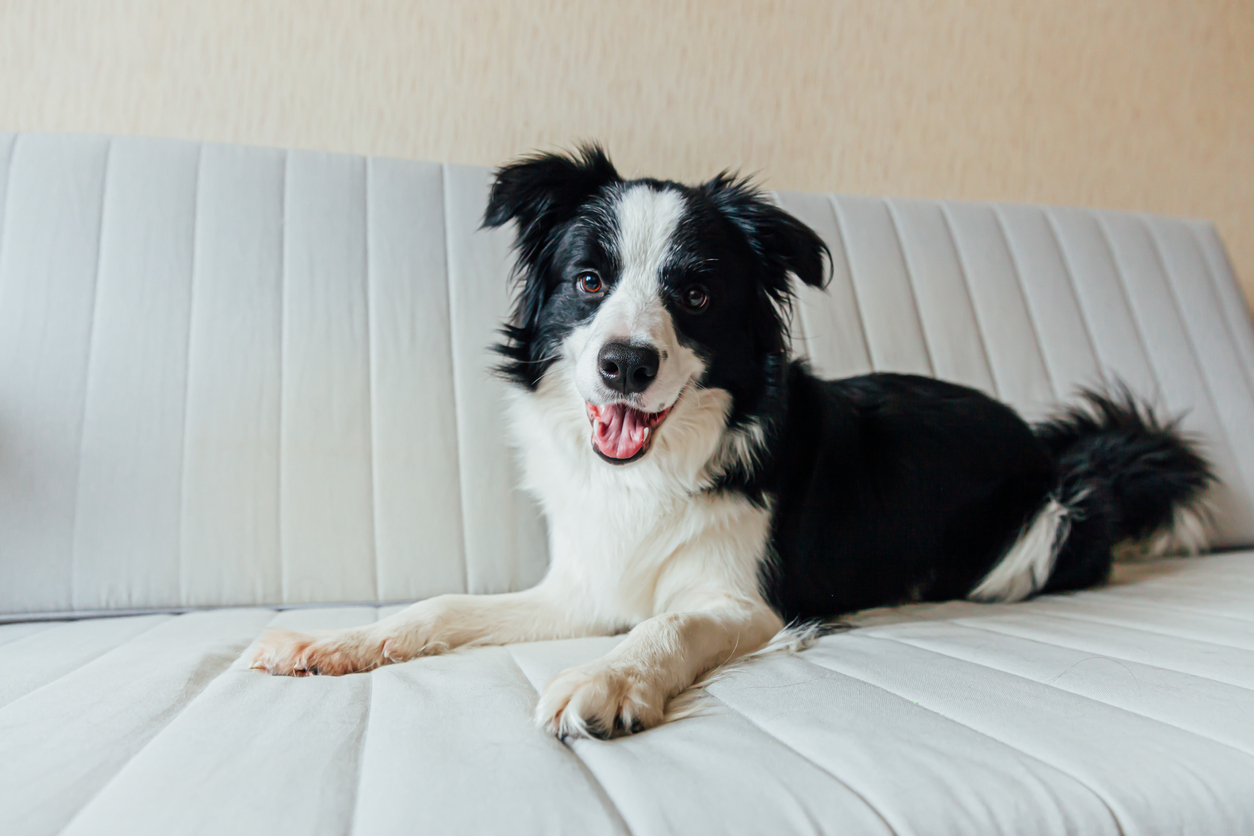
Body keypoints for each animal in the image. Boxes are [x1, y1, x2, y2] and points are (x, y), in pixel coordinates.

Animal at [247, 148, 1213, 736]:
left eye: (698, 295)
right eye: (589, 280)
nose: (625, 364)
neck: (650, 471)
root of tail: (1059, 455)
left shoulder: (749, 601)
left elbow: (665, 624)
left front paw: (606, 682)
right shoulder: (582, 586)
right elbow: (443, 607)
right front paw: (329, 642)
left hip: (1037, 536)